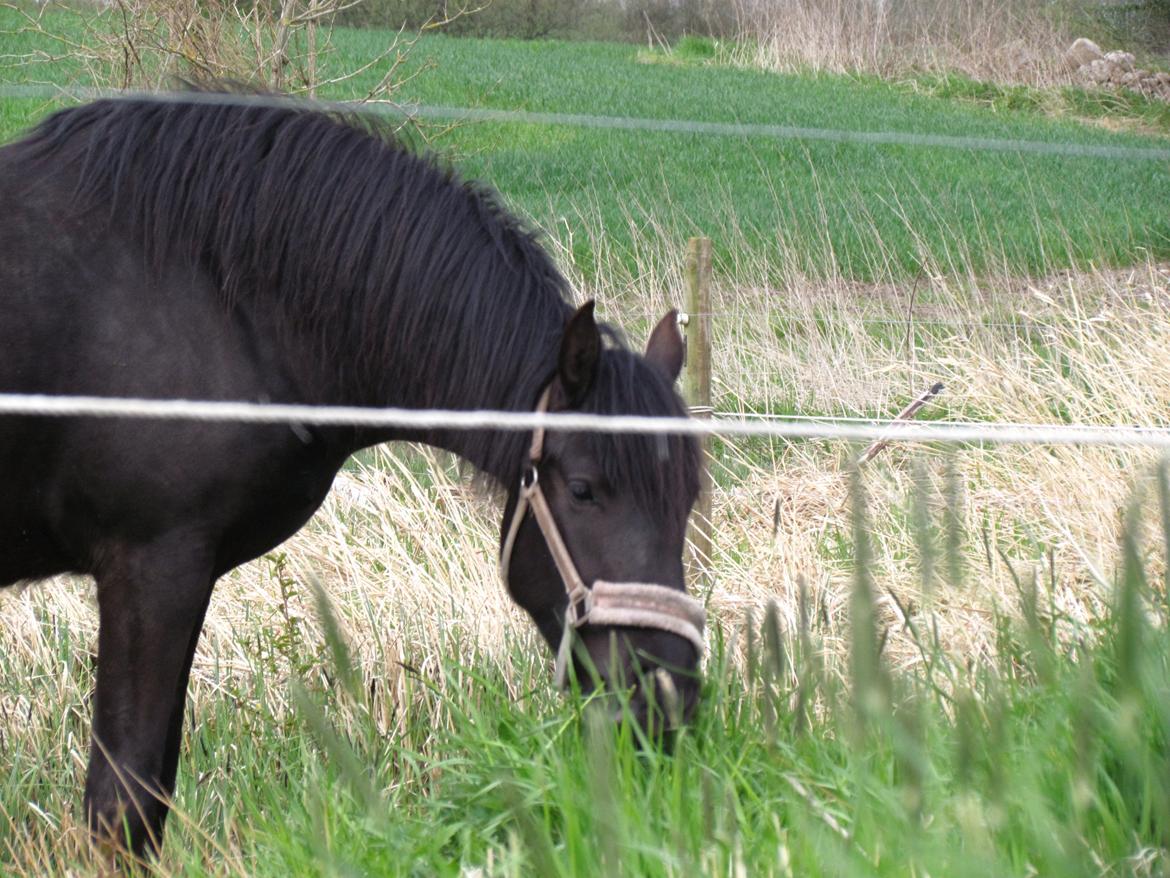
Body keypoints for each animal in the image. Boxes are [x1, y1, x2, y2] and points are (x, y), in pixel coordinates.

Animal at [0, 95, 697, 861]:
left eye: (688, 501)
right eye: (583, 491)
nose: (669, 697)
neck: (214, 295)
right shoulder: (152, 567)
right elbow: (123, 806)